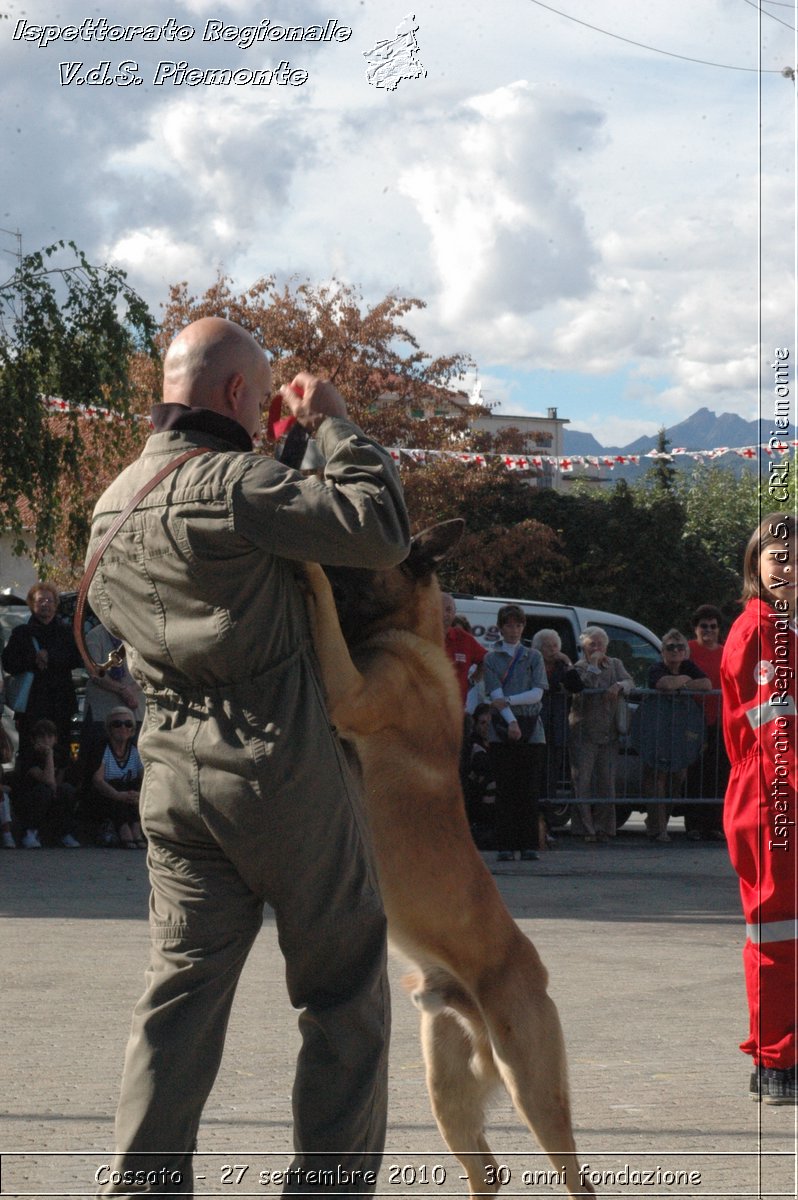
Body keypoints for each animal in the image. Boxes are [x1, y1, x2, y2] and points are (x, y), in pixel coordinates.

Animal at [302, 520, 595, 1195]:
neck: (405, 634)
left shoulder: (347, 690)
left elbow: (323, 605)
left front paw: (307, 570)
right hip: (449, 1095)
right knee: (487, 1172)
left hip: (531, 1089)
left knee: (573, 1175)